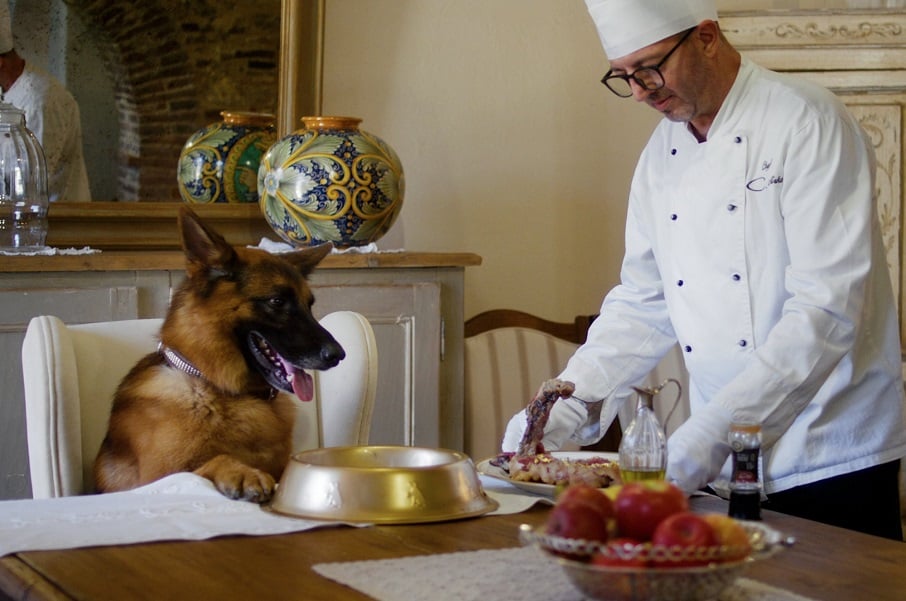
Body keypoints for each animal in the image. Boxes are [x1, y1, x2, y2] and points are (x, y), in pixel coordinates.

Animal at [93, 207, 344, 502]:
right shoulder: (154, 480)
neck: (217, 389)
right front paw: (244, 472)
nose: (338, 355)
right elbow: (208, 463)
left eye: (309, 305)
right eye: (277, 302)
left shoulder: (286, 466)